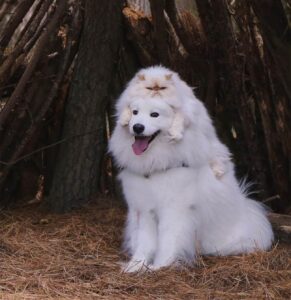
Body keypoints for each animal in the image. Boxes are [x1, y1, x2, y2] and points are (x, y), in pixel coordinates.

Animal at [109, 67, 274, 274]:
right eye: (135, 112)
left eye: (154, 114)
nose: (137, 127)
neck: (156, 164)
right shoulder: (145, 210)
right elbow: (145, 243)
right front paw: (135, 266)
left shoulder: (174, 210)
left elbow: (168, 241)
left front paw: (160, 266)